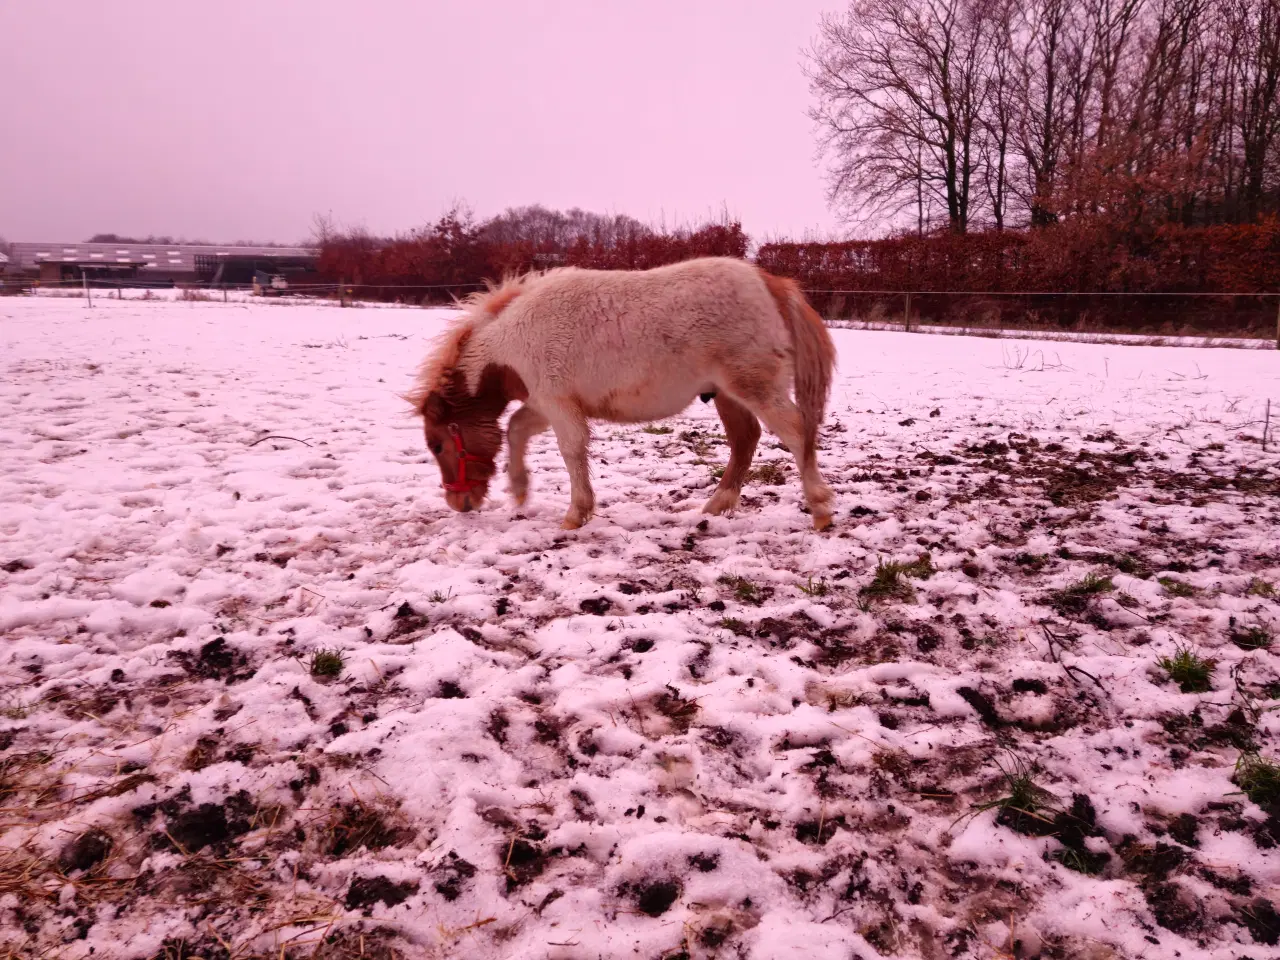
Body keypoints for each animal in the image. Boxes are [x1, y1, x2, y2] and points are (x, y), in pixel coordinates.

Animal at [404, 256, 834, 535]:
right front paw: (520, 490)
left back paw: (820, 509)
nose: (461, 505)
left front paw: (575, 514)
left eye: (437, 445)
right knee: (746, 439)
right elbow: (515, 429)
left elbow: (571, 451)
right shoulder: (546, 403)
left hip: (755, 388)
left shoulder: (559, 405)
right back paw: (716, 505)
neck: (513, 341)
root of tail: (772, 284)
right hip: (729, 395)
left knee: (797, 432)